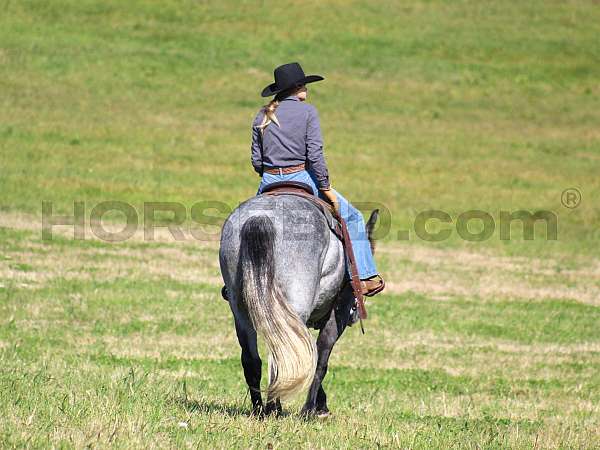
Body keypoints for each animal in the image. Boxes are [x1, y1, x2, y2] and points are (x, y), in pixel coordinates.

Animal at [220, 189, 378, 414]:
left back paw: (260, 410)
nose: (354, 316)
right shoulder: (338, 314)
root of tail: (261, 217)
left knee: (253, 360)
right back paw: (274, 410)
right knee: (284, 358)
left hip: (241, 313)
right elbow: (320, 359)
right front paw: (311, 410)